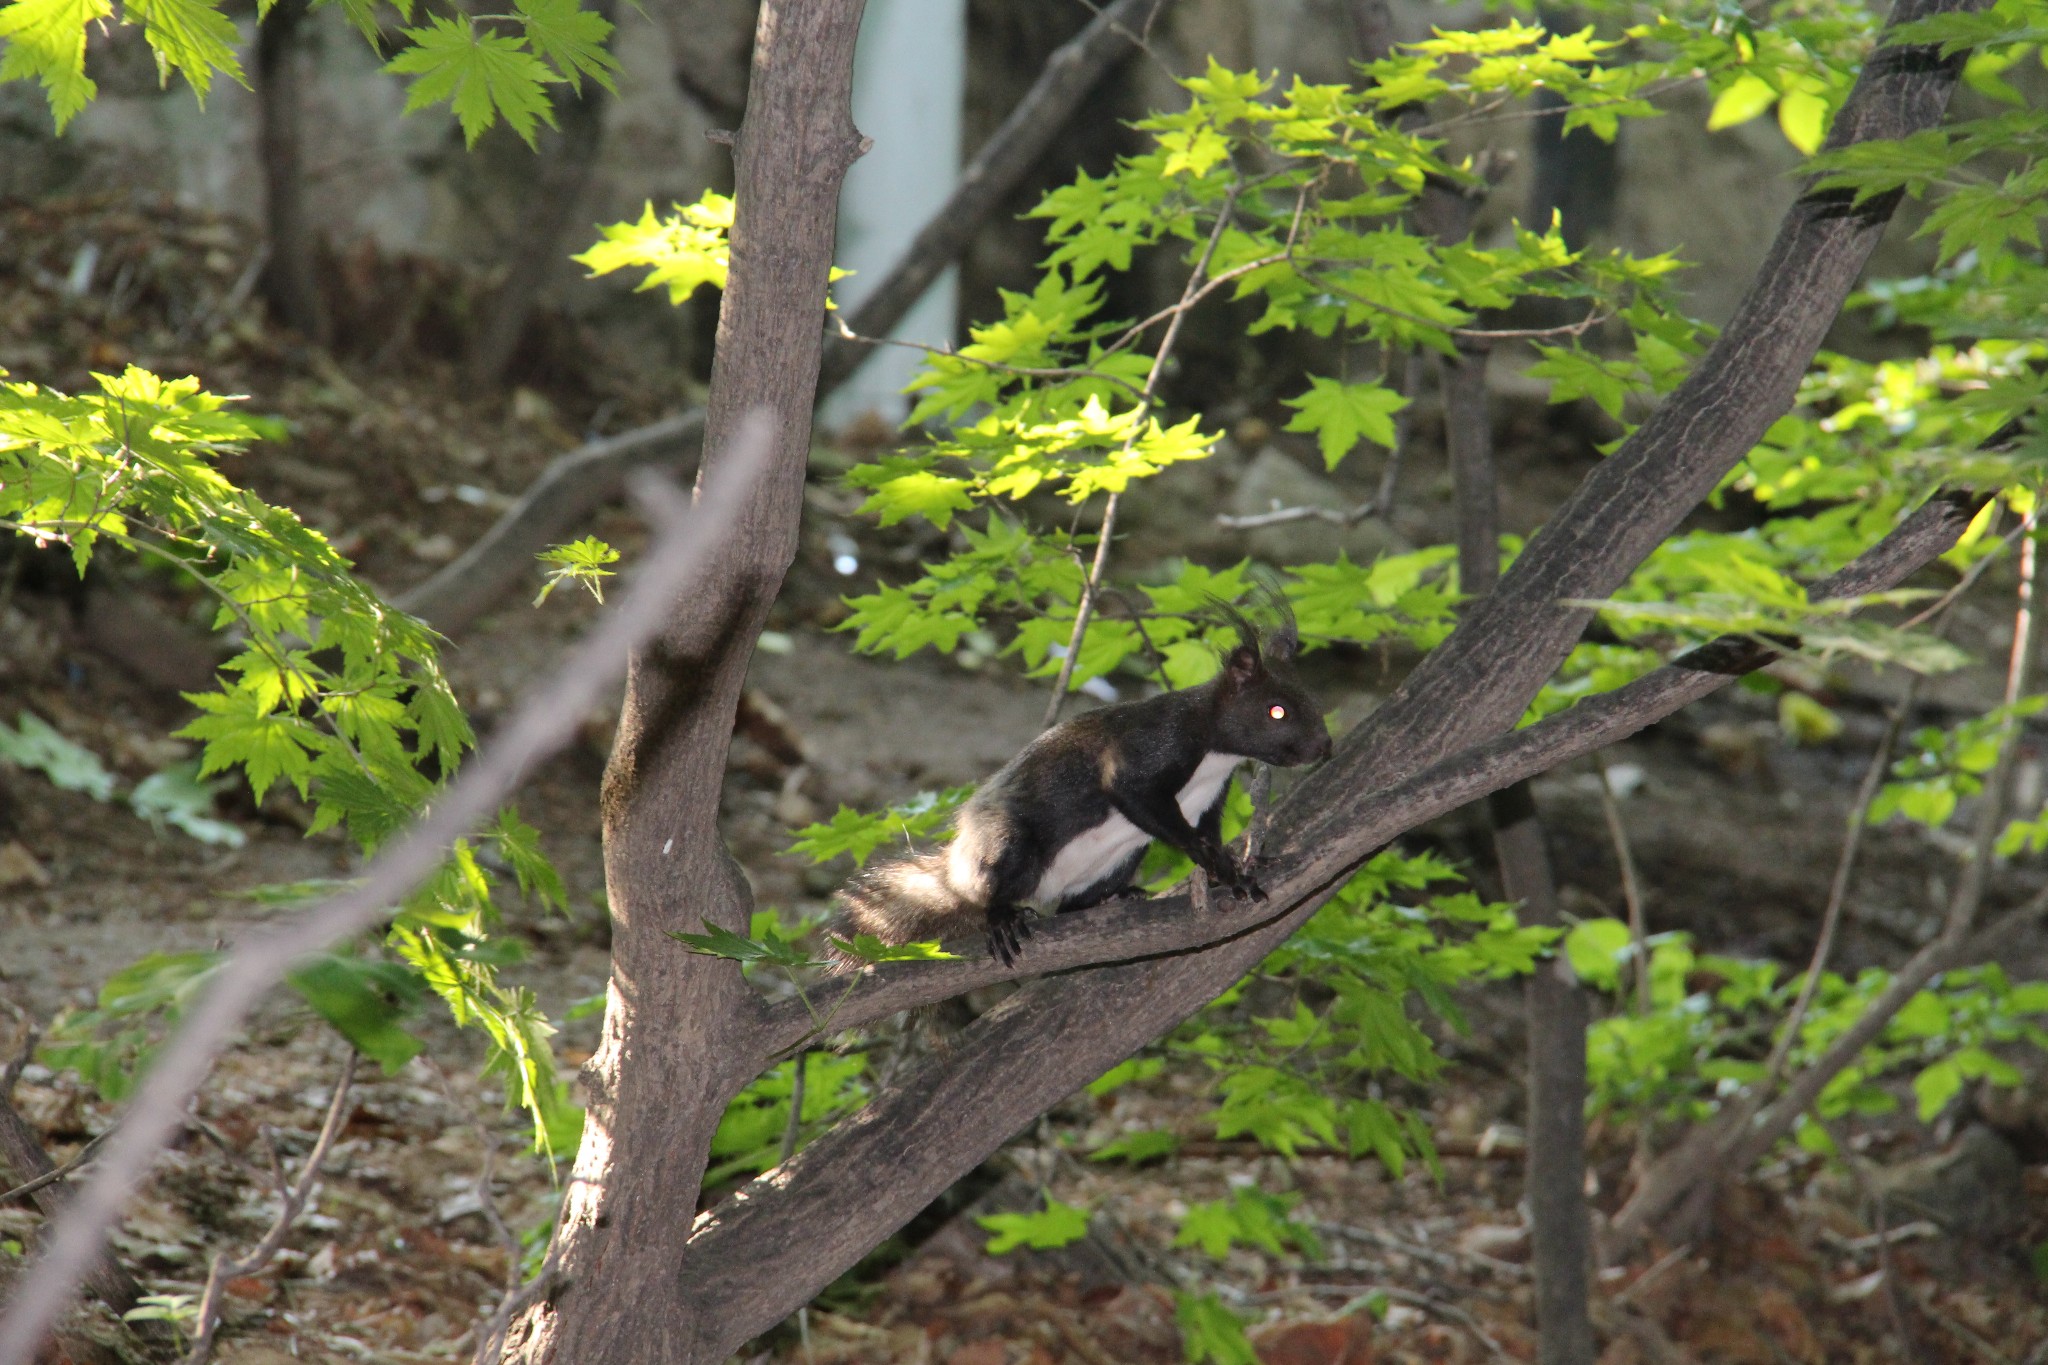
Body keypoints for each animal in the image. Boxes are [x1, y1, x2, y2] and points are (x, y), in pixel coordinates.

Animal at [831, 613, 1327, 965]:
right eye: (1277, 710)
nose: (1326, 745)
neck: (1215, 752)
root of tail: (958, 873)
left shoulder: (1211, 797)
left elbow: (1207, 829)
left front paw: (1236, 869)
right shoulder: (1150, 748)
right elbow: (1137, 795)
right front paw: (1219, 866)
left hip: (1122, 857)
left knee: (1070, 906)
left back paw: (1115, 897)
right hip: (1010, 843)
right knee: (995, 887)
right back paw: (1002, 916)